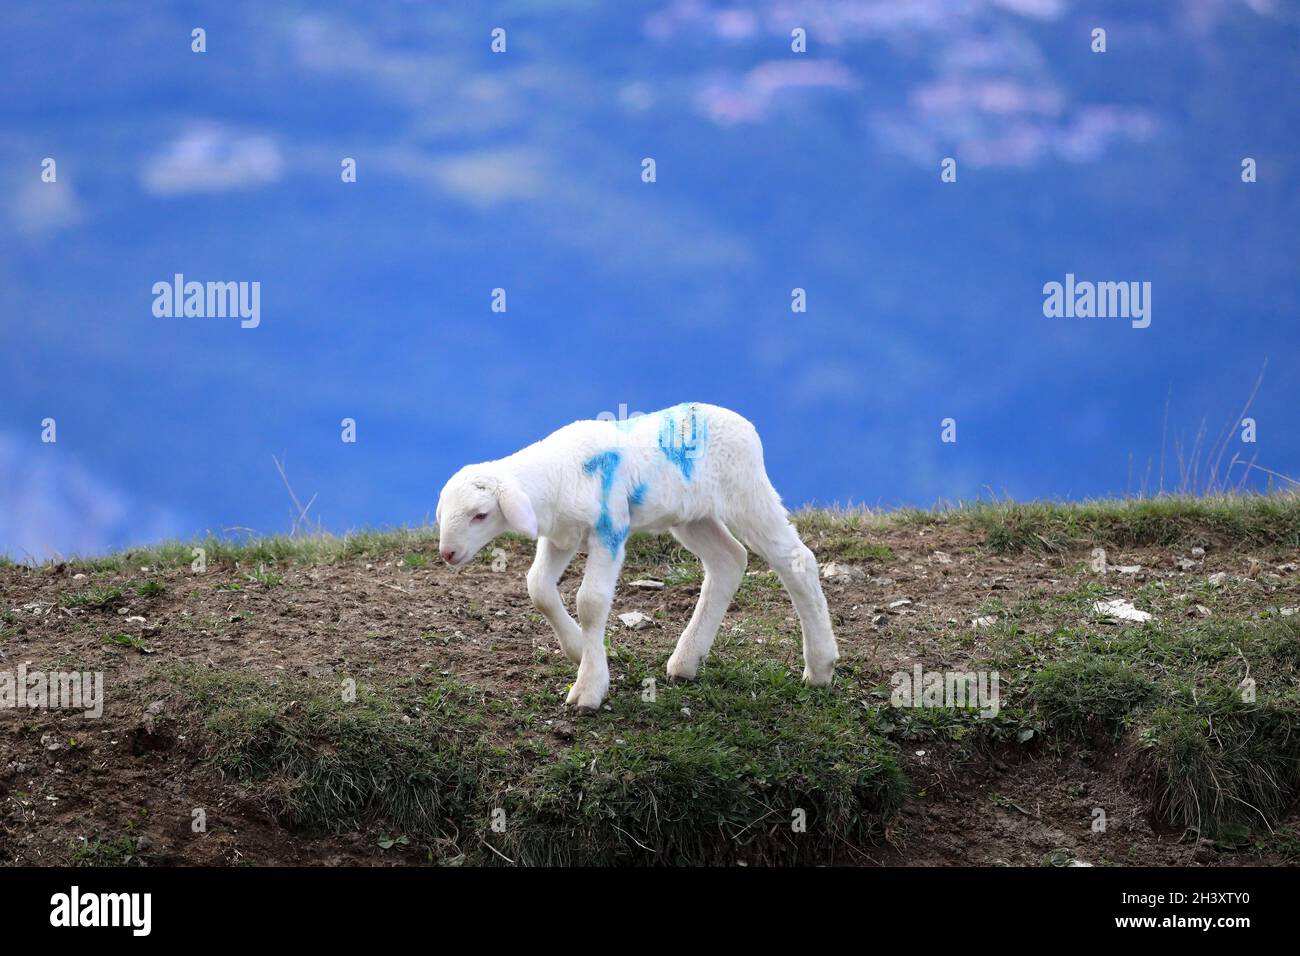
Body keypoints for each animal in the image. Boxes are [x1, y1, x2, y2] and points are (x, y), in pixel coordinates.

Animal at [436, 403, 842, 712]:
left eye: (480, 515)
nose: (447, 553)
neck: (557, 473)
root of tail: (744, 424)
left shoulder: (610, 527)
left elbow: (591, 602)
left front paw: (589, 688)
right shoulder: (561, 536)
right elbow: (538, 589)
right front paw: (577, 649)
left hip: (746, 493)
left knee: (796, 559)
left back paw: (820, 666)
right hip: (693, 517)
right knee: (729, 560)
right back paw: (686, 661)